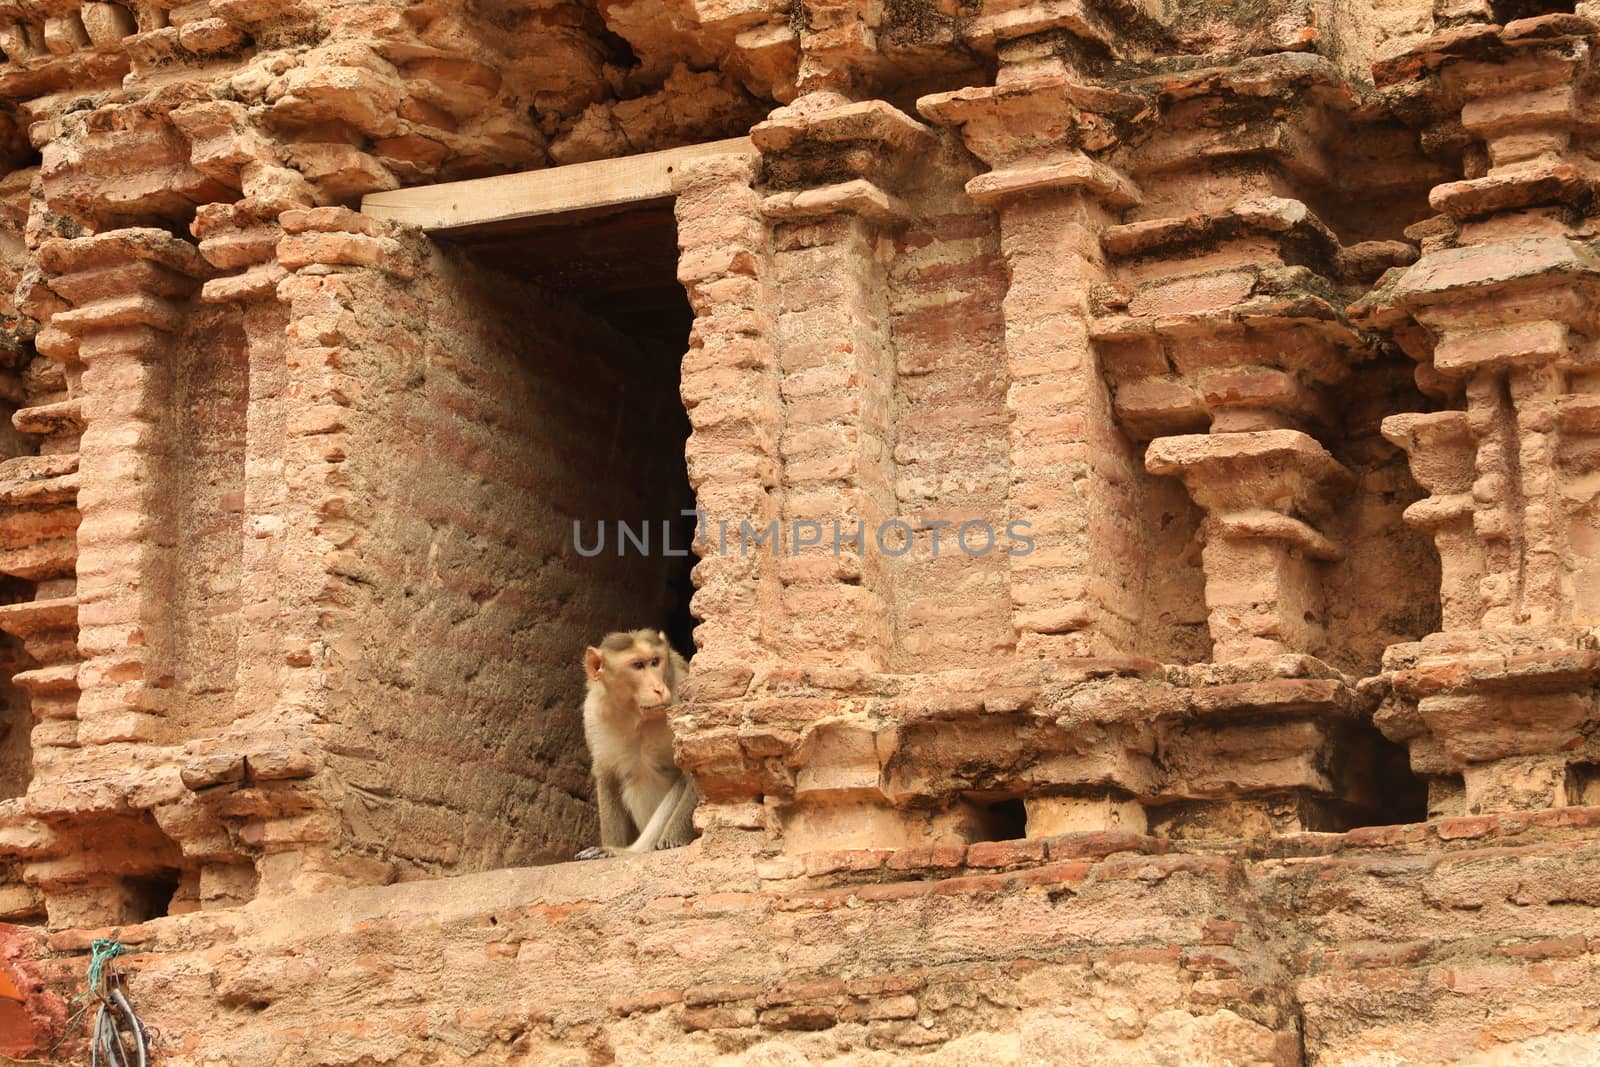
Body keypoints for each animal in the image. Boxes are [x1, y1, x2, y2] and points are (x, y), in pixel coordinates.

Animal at [576, 630, 700, 863]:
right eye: (637, 665)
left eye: (655, 662)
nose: (658, 689)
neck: (636, 717)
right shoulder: (593, 714)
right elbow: (608, 778)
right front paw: (608, 847)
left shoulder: (681, 696)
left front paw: (673, 840)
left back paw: (634, 850)